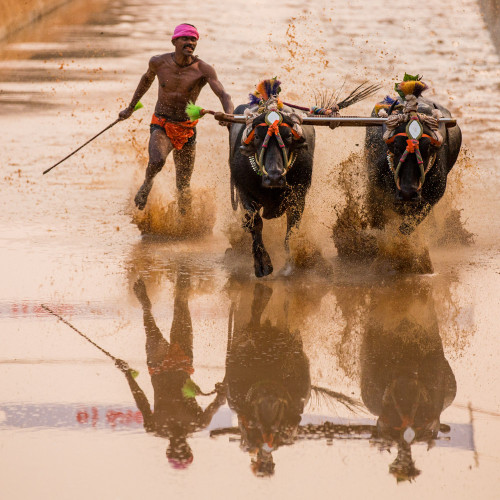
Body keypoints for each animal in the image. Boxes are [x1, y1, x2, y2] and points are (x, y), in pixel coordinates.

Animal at [229, 104, 314, 278]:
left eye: (288, 135)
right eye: (256, 137)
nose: (274, 177)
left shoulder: (298, 197)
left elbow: (292, 228)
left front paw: (289, 264)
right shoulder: (244, 193)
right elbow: (255, 223)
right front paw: (262, 265)